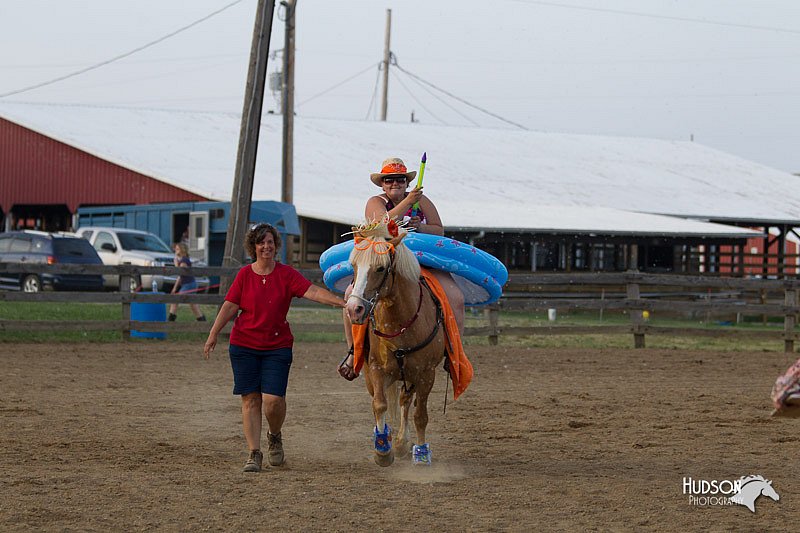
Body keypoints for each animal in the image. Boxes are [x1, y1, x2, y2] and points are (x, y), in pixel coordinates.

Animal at [344, 218, 444, 464]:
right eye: (354, 265)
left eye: (381, 268)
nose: (354, 309)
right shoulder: (377, 370)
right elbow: (379, 405)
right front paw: (382, 449)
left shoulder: (426, 374)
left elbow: (420, 415)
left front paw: (421, 453)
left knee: (405, 401)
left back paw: (402, 443)